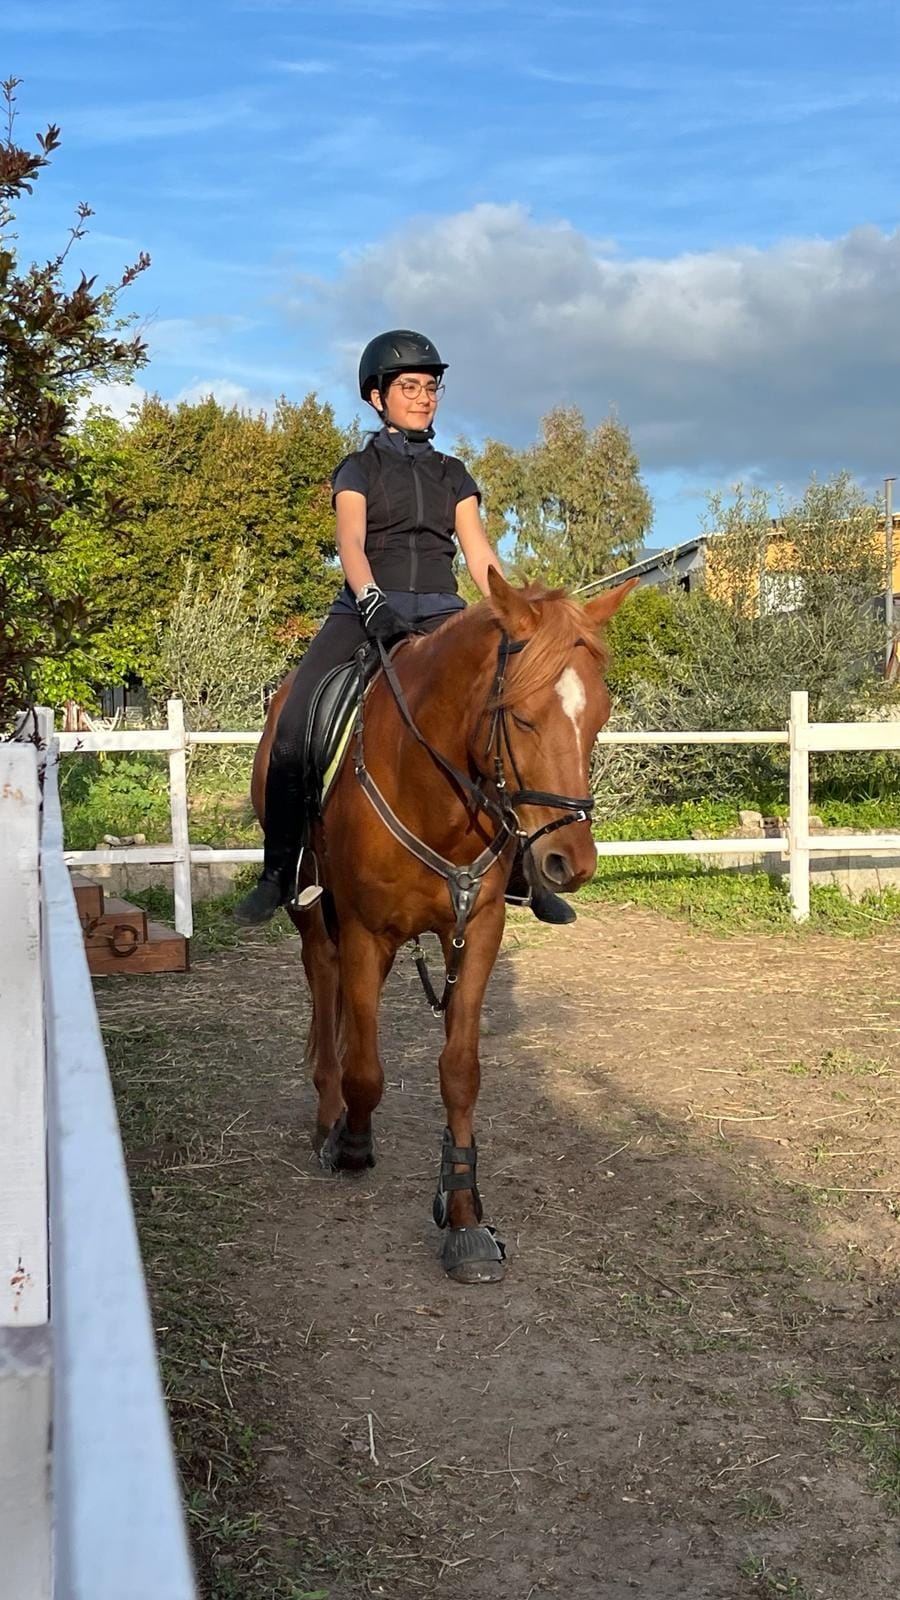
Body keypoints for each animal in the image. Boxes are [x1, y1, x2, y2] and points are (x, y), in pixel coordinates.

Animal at [251, 568, 636, 1283]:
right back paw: (326, 1114)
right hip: (311, 911)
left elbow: (460, 1071)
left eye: (597, 717)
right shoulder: (366, 934)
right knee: (323, 983)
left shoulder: (477, 932)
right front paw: (352, 1142)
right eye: (521, 715)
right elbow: (366, 1070)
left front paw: (463, 1212)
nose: (570, 862)